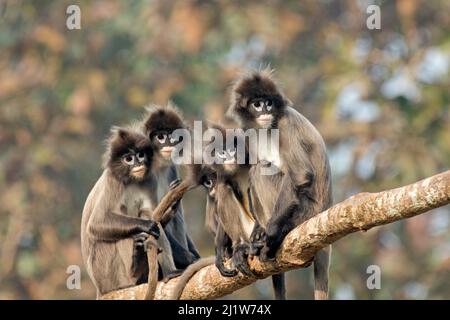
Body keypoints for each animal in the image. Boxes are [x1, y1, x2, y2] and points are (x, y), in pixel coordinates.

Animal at [81, 125, 184, 298]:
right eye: (128, 159)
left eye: (140, 155)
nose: (137, 164)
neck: (131, 180)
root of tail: (99, 289)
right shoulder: (113, 182)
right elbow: (97, 222)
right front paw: (147, 225)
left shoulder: (149, 180)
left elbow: (154, 218)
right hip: (105, 271)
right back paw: (134, 270)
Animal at [227, 69, 332, 300]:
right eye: (257, 104)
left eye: (268, 102)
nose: (265, 110)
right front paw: (256, 236)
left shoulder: (286, 124)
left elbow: (300, 174)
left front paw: (270, 236)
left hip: (306, 212)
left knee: (261, 171)